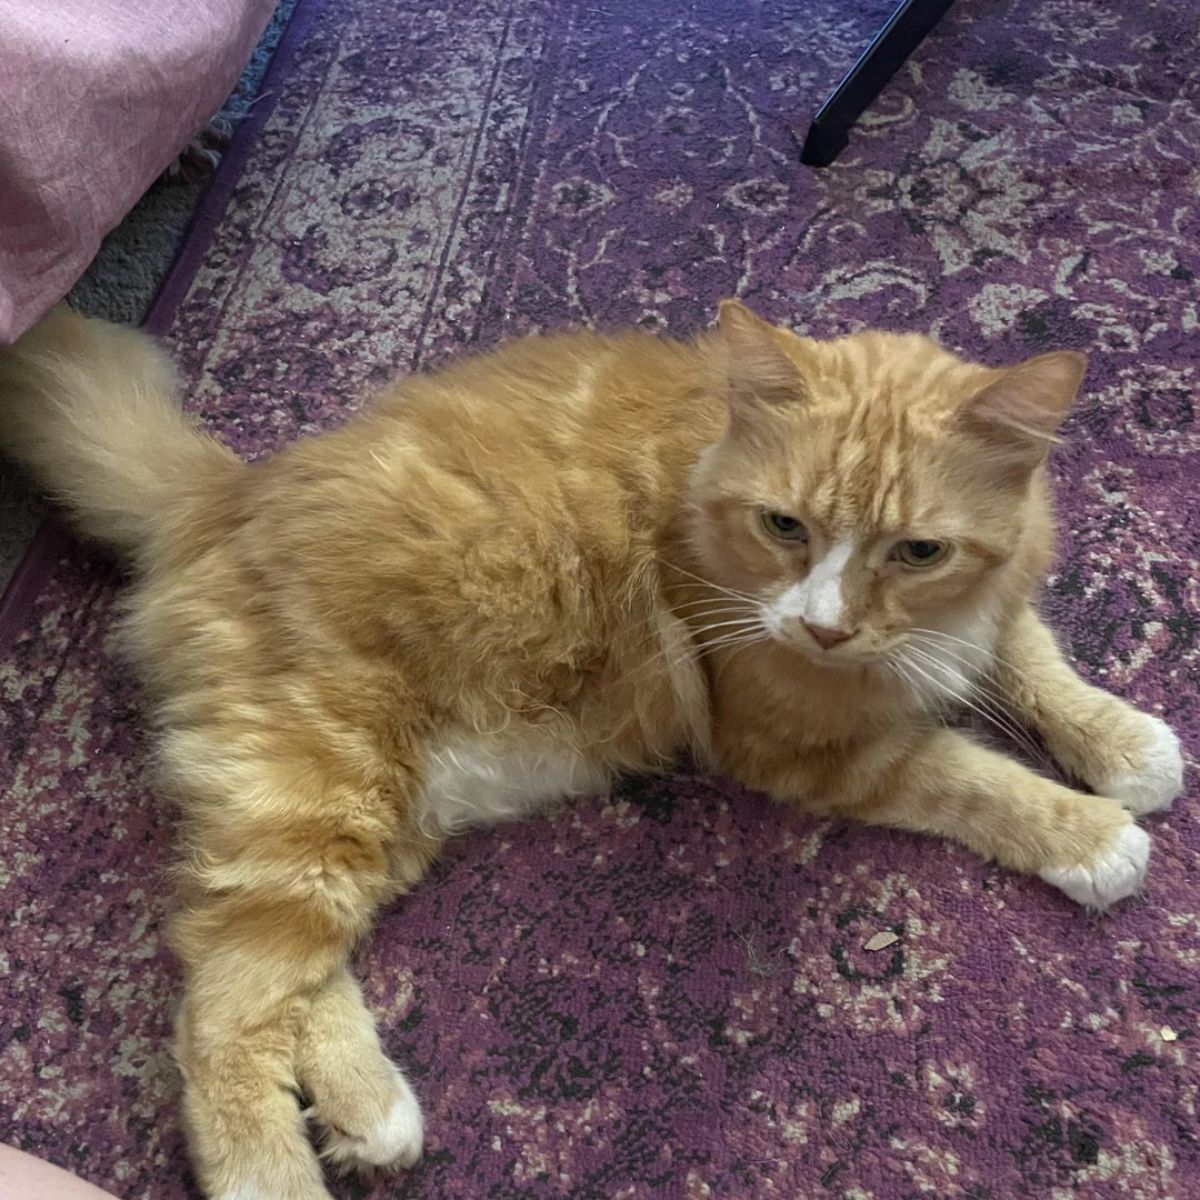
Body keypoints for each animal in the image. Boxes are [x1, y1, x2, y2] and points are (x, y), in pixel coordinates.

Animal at [0, 304, 1180, 1200]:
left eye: (919, 551)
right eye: (785, 528)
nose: (824, 627)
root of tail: (223, 492)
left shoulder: (986, 611)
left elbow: (1036, 658)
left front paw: (1125, 742)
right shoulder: (805, 741)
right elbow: (969, 776)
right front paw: (1091, 835)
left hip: (376, 815)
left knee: (278, 968)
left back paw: (371, 1108)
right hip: (320, 786)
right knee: (222, 1005)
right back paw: (277, 1173)